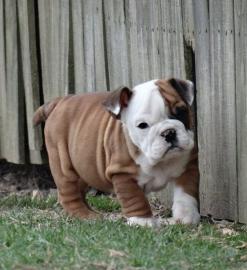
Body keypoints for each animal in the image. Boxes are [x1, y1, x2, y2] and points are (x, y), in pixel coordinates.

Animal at [32, 77, 200, 226]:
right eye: (142, 125)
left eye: (181, 112)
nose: (168, 133)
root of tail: (60, 101)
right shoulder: (123, 174)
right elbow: (135, 199)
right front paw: (143, 222)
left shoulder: (188, 167)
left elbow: (186, 194)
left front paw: (186, 217)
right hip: (63, 164)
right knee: (69, 194)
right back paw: (86, 215)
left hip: (83, 167)